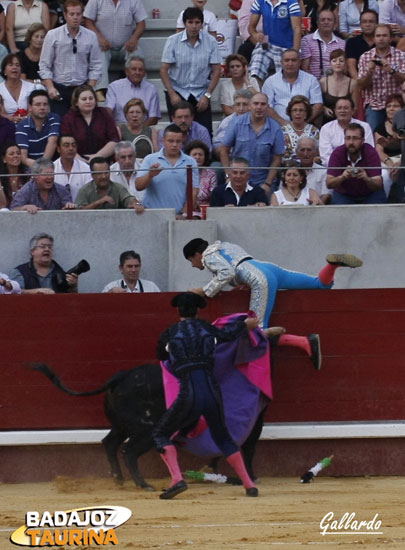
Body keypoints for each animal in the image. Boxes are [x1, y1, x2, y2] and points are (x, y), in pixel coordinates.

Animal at [30, 366, 266, 492]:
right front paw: (247, 476)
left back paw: (119, 478)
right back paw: (142, 484)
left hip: (122, 425)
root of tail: (122, 376)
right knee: (129, 451)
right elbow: (240, 448)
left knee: (109, 443)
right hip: (146, 430)